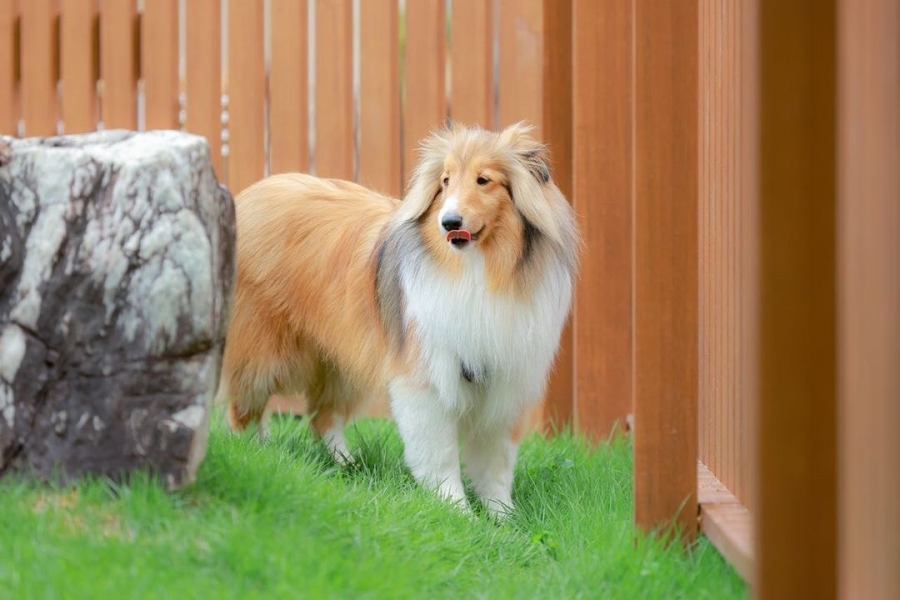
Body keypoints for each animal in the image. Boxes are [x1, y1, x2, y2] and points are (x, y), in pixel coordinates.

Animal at [221, 122, 580, 516]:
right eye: (445, 181)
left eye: (484, 180)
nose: (448, 222)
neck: (477, 271)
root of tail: (251, 194)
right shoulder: (427, 378)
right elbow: (440, 454)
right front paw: (457, 510)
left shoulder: (504, 381)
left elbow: (496, 461)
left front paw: (503, 517)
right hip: (263, 351)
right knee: (245, 408)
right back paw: (256, 452)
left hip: (342, 359)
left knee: (324, 415)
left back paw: (347, 465)